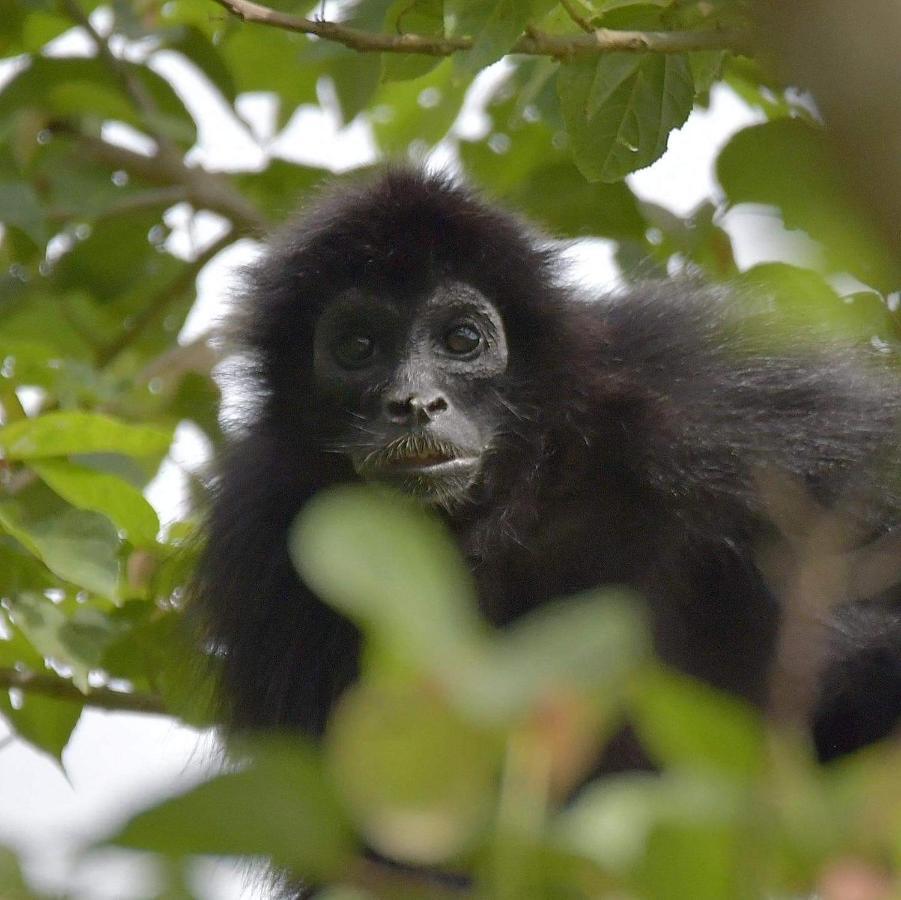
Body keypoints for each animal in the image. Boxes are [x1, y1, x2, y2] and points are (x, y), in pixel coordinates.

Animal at [193, 169, 896, 788]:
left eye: (462, 339)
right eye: (357, 347)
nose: (415, 403)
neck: (509, 509)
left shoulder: (700, 388)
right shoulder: (265, 532)